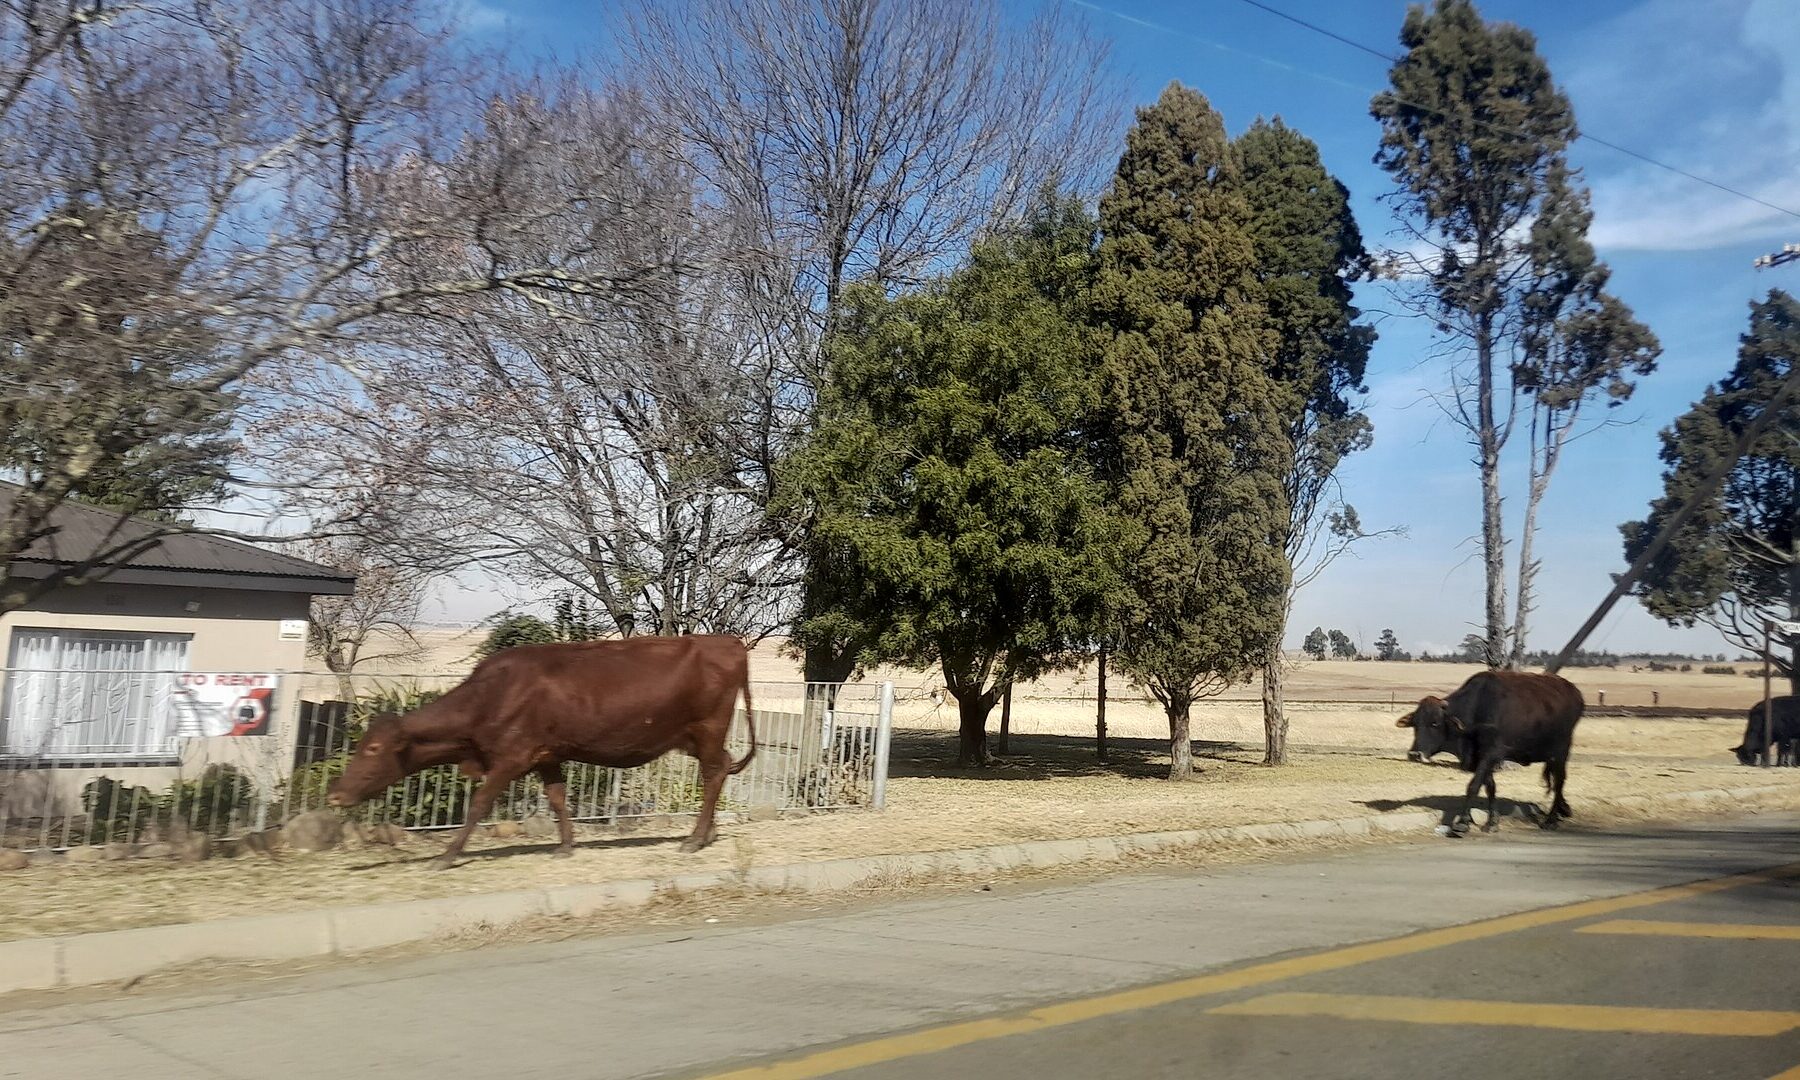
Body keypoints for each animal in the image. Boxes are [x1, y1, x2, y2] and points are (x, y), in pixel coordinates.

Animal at [326, 635, 757, 869]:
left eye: (374, 748)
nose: (335, 794)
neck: (493, 695)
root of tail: (727, 641)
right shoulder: (547, 756)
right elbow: (558, 800)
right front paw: (565, 846)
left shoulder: (511, 758)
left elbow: (479, 804)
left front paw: (446, 855)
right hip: (697, 737)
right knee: (719, 771)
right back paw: (707, 832)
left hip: (707, 729)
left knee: (713, 774)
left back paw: (695, 838)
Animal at [1396, 670, 1584, 837]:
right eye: (1415, 723)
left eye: (1435, 723)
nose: (1414, 754)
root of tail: (1574, 692)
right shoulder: (1482, 756)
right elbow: (1490, 787)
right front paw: (1492, 822)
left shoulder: (1490, 754)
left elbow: (1473, 786)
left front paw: (1462, 822)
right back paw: (1563, 810)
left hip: (1561, 751)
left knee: (1559, 782)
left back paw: (1551, 820)